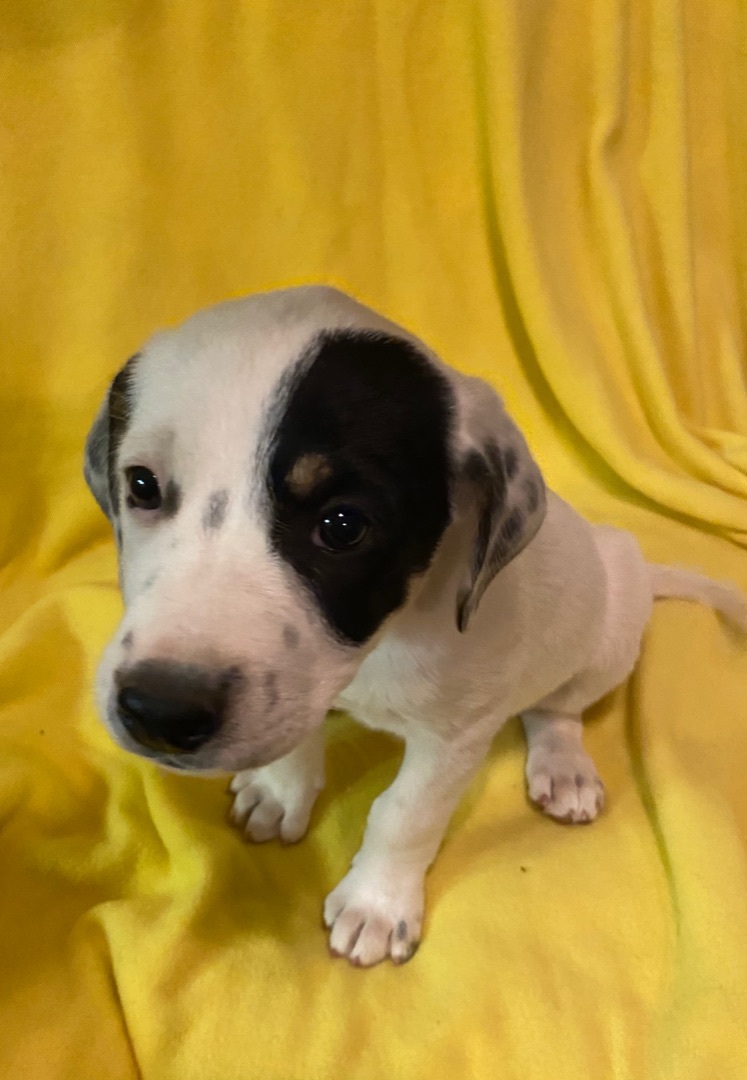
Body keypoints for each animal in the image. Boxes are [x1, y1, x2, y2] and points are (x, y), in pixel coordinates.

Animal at [83, 282, 747, 967]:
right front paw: (281, 790)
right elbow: (297, 736)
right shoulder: (300, 686)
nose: (159, 712)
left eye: (344, 525)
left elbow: (405, 813)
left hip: (608, 637)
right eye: (141, 484)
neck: (381, 642)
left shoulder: (456, 736)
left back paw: (563, 766)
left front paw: (376, 903)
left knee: (557, 709)